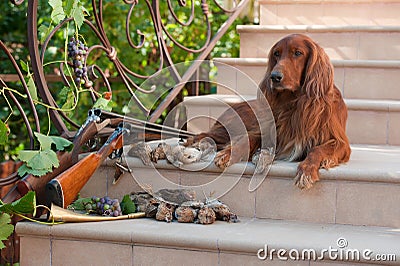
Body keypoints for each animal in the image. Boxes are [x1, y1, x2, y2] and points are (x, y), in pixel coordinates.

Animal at [188, 34, 350, 189]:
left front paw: (307, 170)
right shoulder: (269, 130)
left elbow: (317, 150)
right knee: (202, 135)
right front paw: (229, 153)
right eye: (276, 54)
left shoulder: (340, 143)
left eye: (298, 53)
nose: (275, 77)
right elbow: (248, 139)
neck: (295, 103)